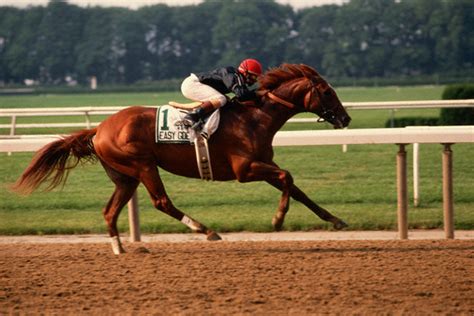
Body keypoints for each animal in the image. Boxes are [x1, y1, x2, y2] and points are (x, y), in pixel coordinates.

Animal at [12, 63, 350, 254]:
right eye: (327, 92)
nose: (346, 118)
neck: (256, 117)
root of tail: (99, 129)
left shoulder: (263, 166)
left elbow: (297, 189)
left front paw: (336, 220)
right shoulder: (246, 169)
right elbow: (287, 177)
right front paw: (278, 219)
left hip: (125, 177)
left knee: (110, 212)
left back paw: (120, 249)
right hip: (143, 165)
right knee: (162, 202)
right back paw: (207, 230)